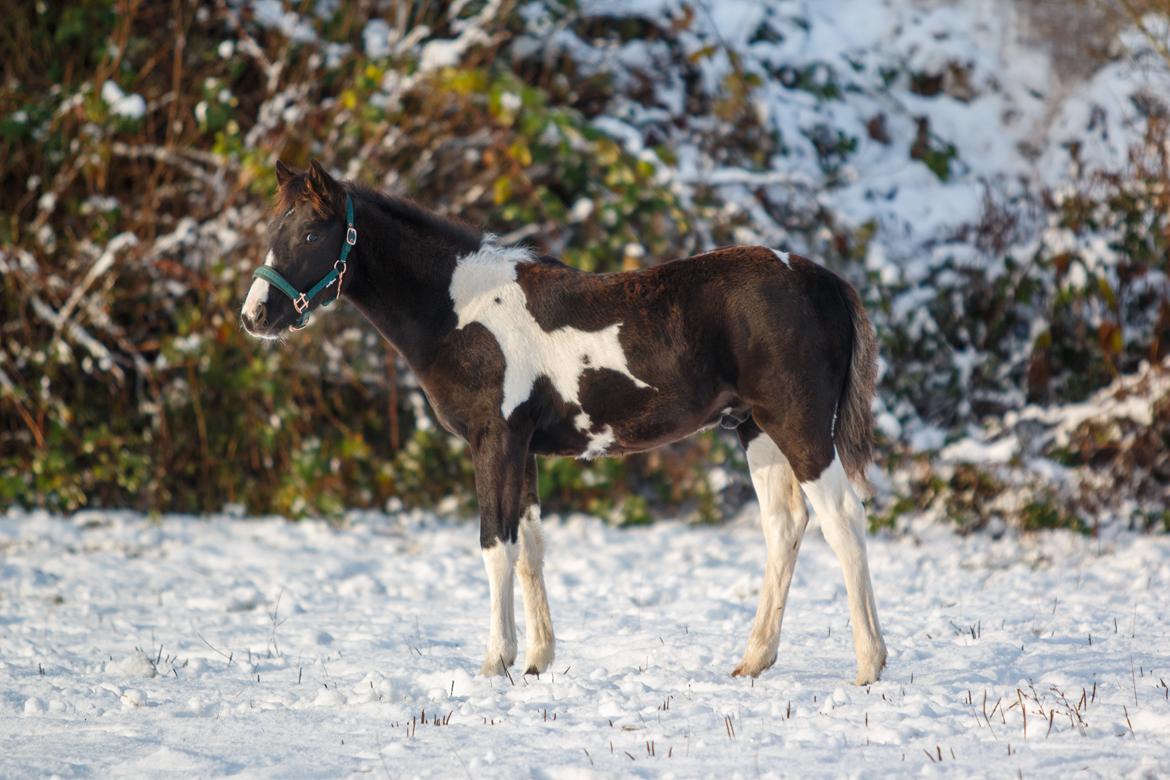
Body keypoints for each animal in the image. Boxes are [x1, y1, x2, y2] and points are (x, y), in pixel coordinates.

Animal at [244, 161, 884, 687]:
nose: (255, 316)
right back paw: (754, 660)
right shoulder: (524, 449)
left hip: (799, 427)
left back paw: (868, 664)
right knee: (785, 528)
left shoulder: (495, 441)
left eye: (311, 233)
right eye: (274, 229)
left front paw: (494, 662)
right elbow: (529, 548)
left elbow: (494, 545)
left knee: (843, 520)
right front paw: (535, 661)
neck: (462, 310)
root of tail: (821, 280)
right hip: (758, 432)